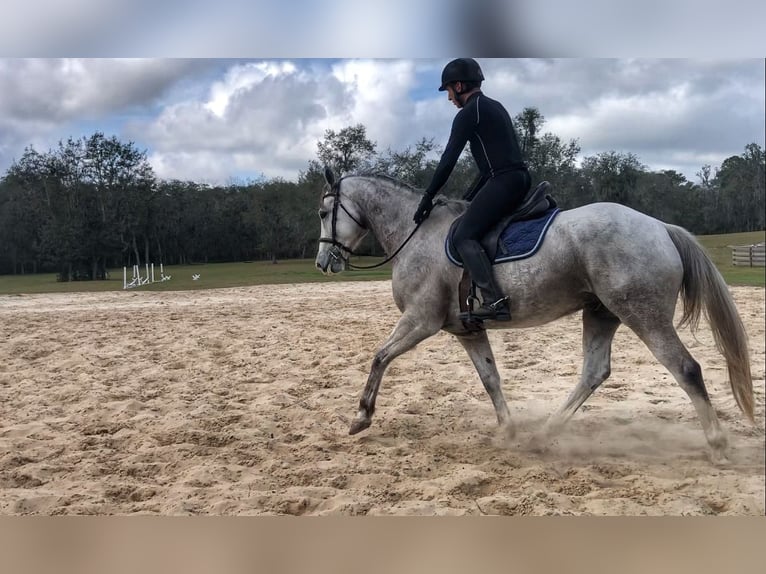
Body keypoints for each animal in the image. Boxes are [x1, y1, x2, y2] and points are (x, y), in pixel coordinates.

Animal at [314, 168, 756, 464]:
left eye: (322, 212)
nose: (323, 262)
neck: (416, 234)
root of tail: (660, 227)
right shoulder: (466, 330)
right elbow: (490, 378)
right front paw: (508, 432)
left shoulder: (421, 321)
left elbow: (379, 356)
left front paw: (361, 417)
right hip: (602, 313)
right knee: (595, 372)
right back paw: (542, 436)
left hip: (643, 315)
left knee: (685, 369)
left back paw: (717, 445)